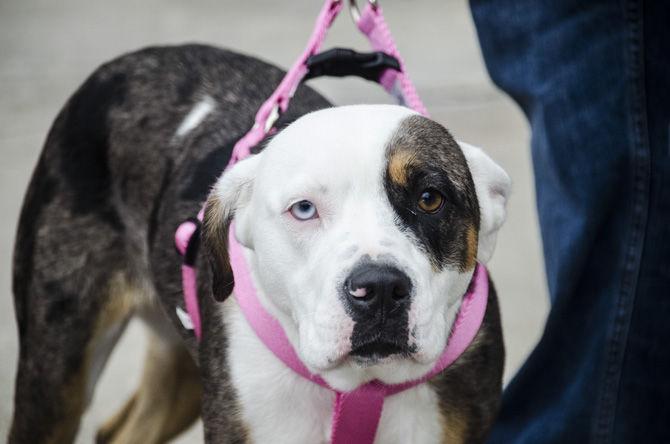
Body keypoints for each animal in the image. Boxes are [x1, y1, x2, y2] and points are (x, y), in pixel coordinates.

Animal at [9, 43, 510, 442]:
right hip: (54, 371)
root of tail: (121, 64)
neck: (358, 385)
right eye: (304, 208)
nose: (381, 289)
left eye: (430, 198)